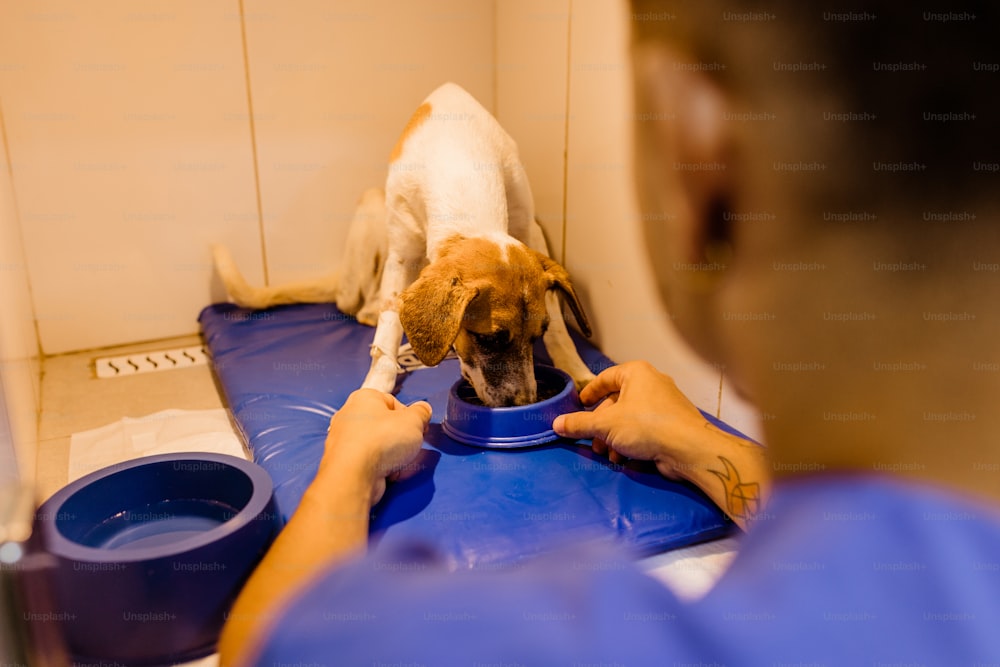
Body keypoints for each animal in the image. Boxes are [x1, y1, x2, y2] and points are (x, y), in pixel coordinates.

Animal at [213, 83, 592, 408]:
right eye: (489, 338)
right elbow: (389, 328)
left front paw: (578, 370)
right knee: (363, 306)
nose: (526, 404)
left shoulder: (531, 230)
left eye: (536, 335)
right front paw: (375, 387)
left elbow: (560, 327)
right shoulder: (400, 258)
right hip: (370, 212)